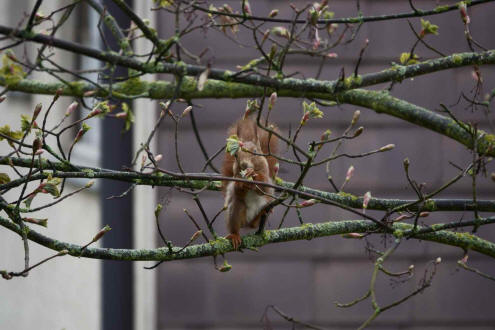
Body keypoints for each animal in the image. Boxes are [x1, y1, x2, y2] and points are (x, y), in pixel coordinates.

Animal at [222, 114, 280, 249]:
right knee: (236, 224)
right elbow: (237, 189)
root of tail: (247, 223)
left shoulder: (266, 179)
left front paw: (253, 175)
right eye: (236, 155)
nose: (243, 164)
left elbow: (263, 189)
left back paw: (261, 214)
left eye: (255, 152)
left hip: (265, 205)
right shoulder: (234, 178)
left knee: (254, 224)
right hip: (236, 211)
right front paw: (242, 182)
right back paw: (234, 236)